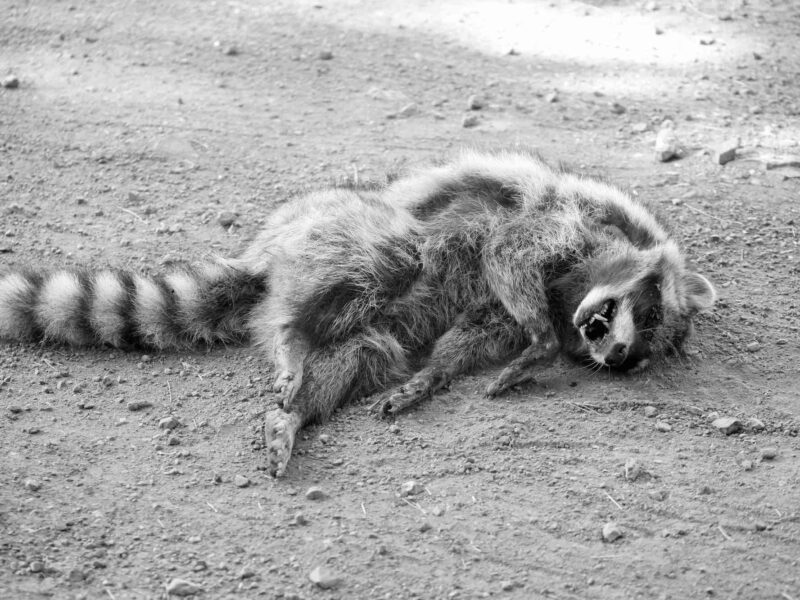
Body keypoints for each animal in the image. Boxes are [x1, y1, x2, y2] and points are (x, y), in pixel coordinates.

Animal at [0, 150, 716, 476]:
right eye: (647, 315)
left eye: (640, 352)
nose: (616, 353)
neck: (577, 282)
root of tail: (265, 251)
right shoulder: (556, 222)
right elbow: (506, 254)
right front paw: (539, 343)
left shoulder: (508, 309)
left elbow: (474, 335)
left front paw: (435, 377)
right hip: (337, 228)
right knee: (390, 258)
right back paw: (295, 341)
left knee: (367, 350)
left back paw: (295, 409)